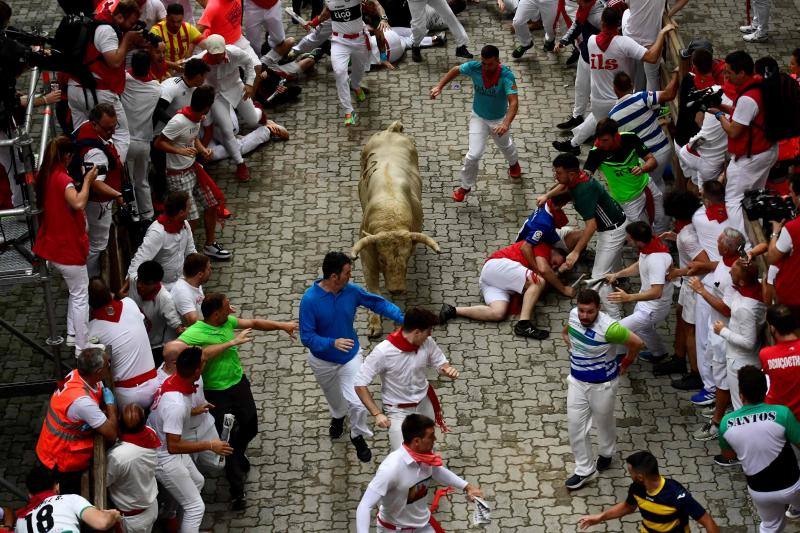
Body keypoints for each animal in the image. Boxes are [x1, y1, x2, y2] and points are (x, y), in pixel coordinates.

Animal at [350, 121, 438, 336]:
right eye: (382, 259)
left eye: (407, 258)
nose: (397, 289)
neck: (390, 215)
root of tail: (391, 131)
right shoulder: (368, 259)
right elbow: (373, 292)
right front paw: (375, 325)